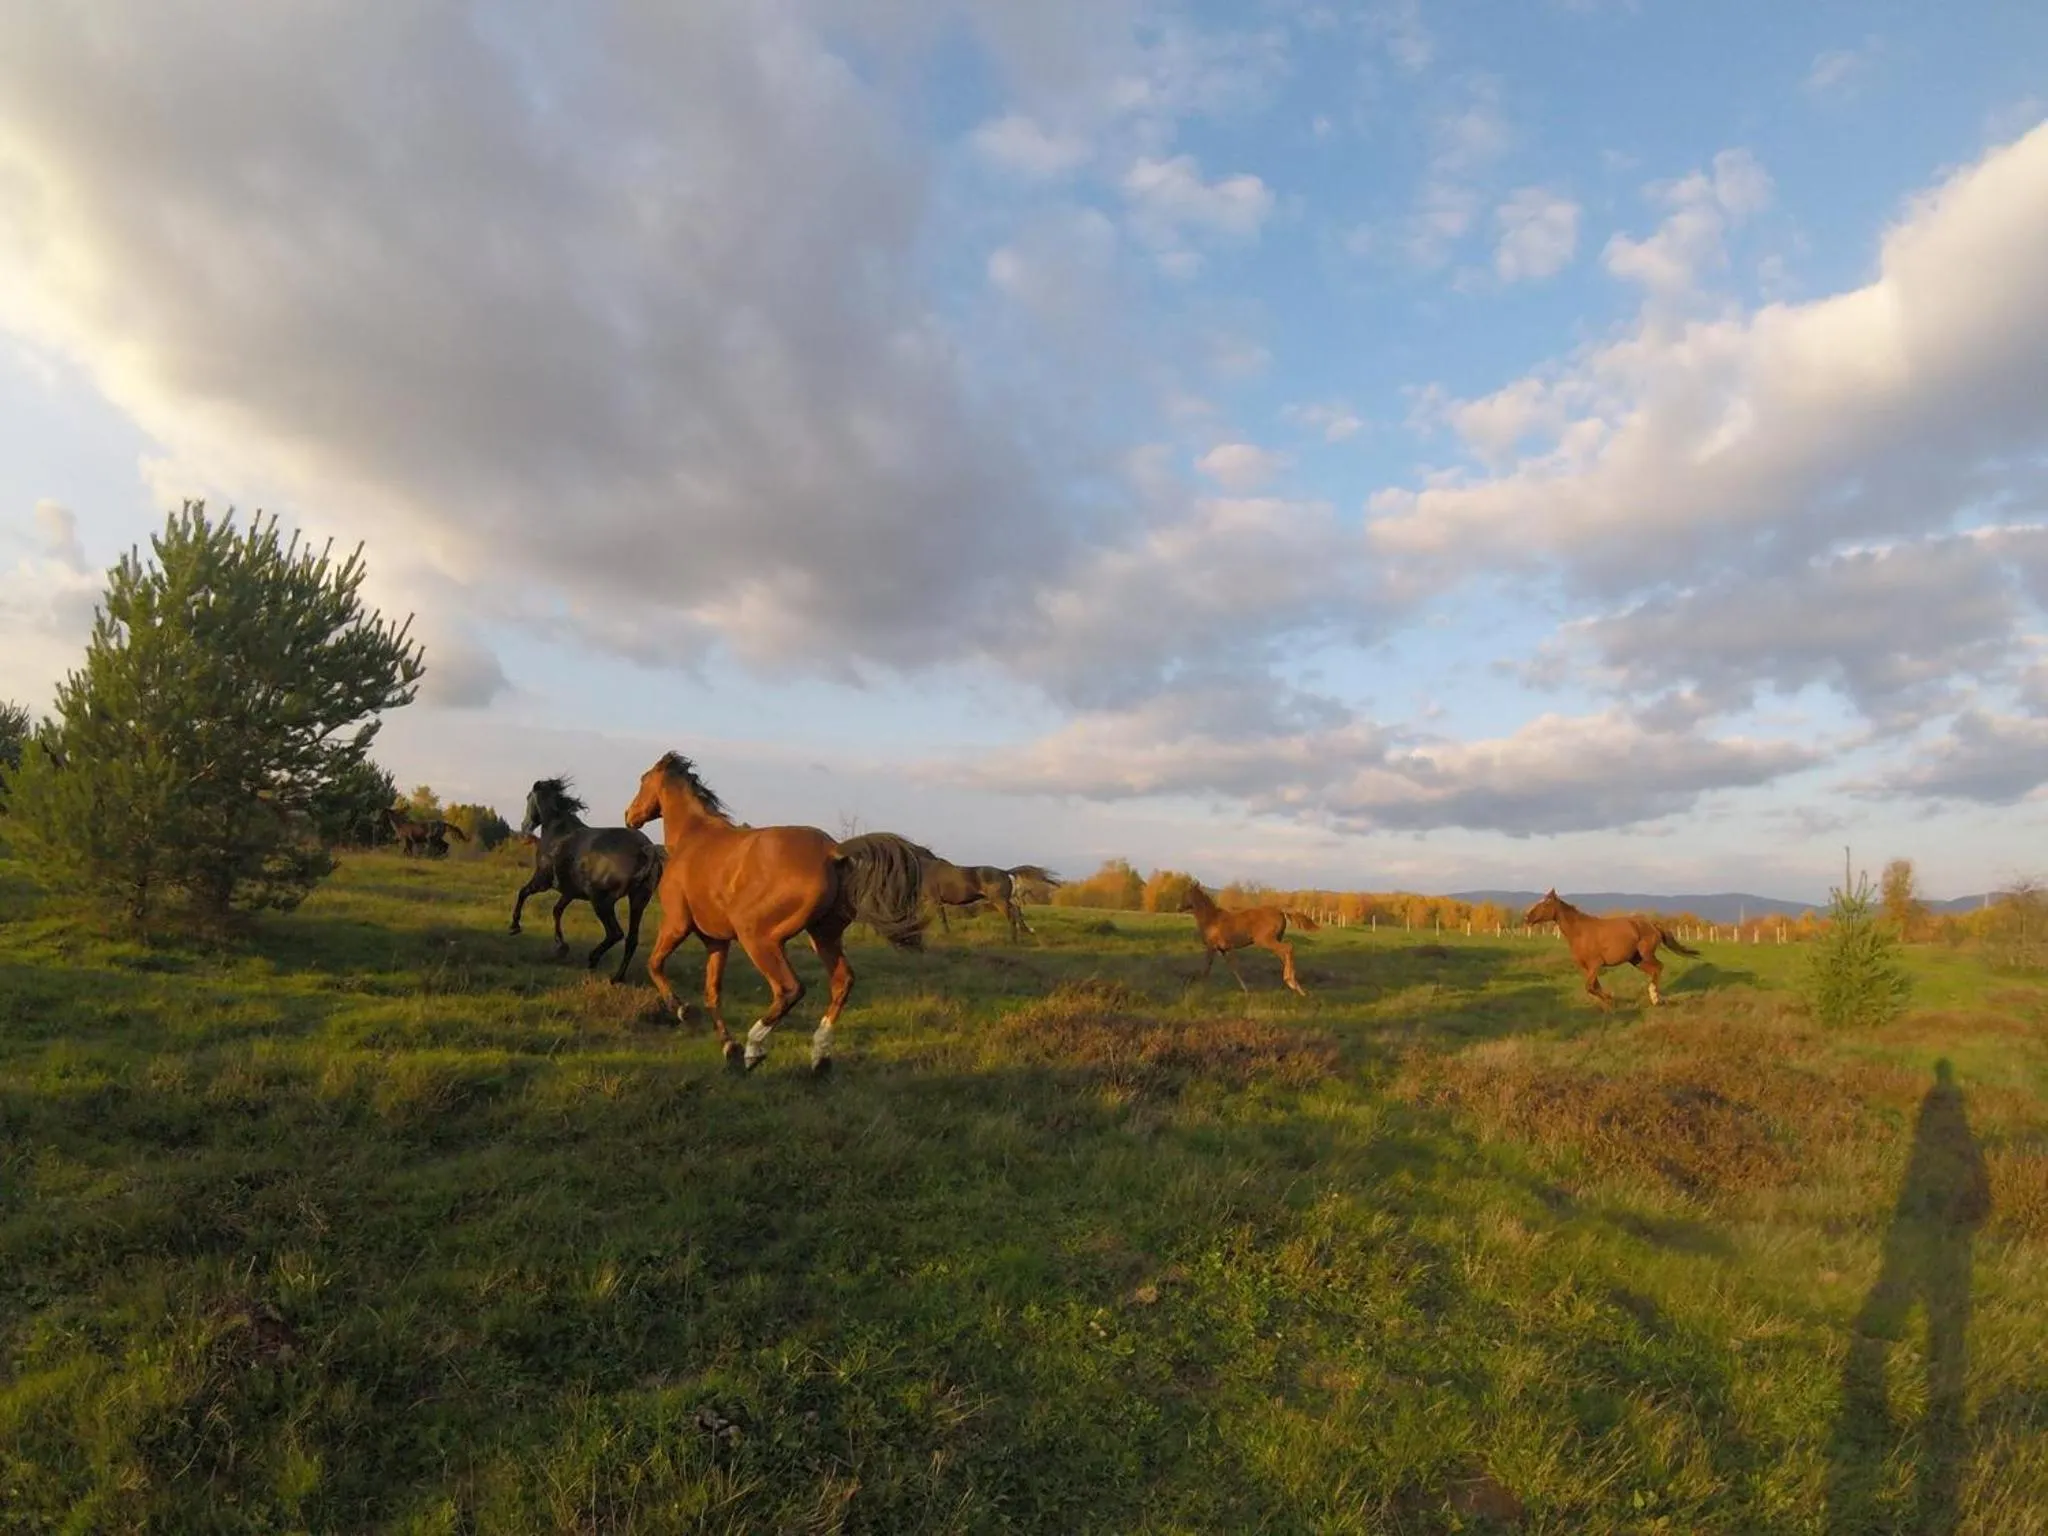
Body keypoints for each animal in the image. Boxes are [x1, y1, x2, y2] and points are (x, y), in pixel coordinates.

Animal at [509, 778, 665, 982]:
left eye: (528, 797)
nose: (524, 826)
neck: (558, 832)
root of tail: (646, 849)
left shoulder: (542, 881)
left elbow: (523, 892)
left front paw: (514, 926)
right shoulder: (569, 892)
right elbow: (557, 911)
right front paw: (561, 947)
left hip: (601, 901)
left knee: (615, 933)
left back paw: (593, 959)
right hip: (638, 900)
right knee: (631, 939)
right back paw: (617, 977)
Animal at [624, 751, 928, 1073]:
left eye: (643, 780)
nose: (629, 815)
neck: (692, 838)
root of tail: (832, 851)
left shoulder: (676, 924)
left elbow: (655, 965)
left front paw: (684, 1011)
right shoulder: (717, 941)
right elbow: (712, 993)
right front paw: (729, 1048)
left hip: (757, 937)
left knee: (789, 989)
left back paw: (754, 1049)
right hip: (823, 935)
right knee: (842, 982)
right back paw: (819, 1058)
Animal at [1181, 880, 1317, 996]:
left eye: (1186, 893)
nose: (1179, 906)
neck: (1211, 919)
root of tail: (1281, 911)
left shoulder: (1212, 946)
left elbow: (1207, 968)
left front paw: (1199, 988)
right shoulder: (1224, 949)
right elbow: (1234, 968)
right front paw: (1246, 990)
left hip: (1265, 940)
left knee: (1288, 948)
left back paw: (1290, 981)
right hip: (1275, 939)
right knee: (1284, 954)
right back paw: (1296, 986)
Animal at [1523, 889, 1699, 1009]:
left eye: (1545, 903)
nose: (1526, 917)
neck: (1580, 932)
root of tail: (1652, 924)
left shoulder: (1595, 964)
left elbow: (1590, 987)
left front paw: (1611, 1000)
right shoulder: (1586, 967)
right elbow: (1594, 986)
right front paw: (1609, 1003)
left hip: (1646, 954)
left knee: (1659, 967)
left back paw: (1656, 999)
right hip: (1636, 960)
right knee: (1654, 970)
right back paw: (1655, 998)